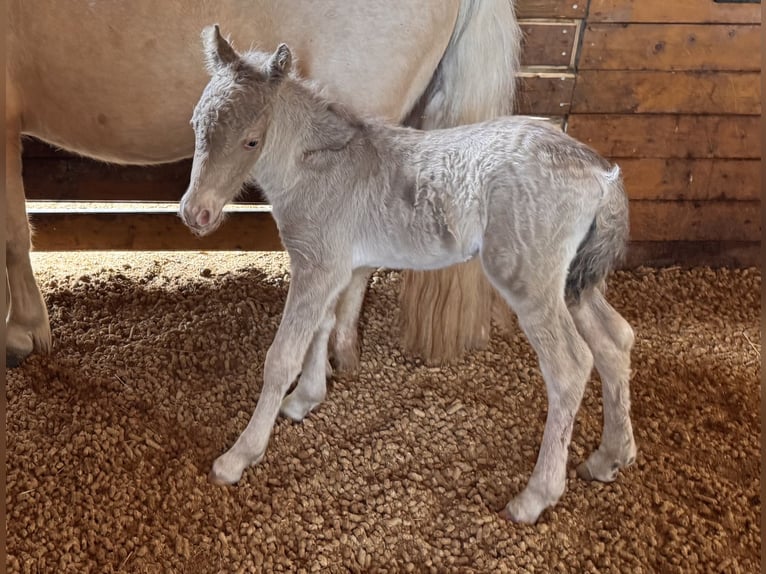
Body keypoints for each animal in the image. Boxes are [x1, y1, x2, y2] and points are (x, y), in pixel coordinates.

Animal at [179, 28, 637, 524]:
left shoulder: (317, 265)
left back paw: (535, 497)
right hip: (574, 280)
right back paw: (611, 457)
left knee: (570, 367)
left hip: (529, 280)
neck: (319, 166)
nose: (195, 213)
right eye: (196, 125)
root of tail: (600, 171)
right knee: (616, 340)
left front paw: (239, 455)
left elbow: (282, 357)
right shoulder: (336, 264)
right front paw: (306, 400)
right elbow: (324, 325)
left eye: (251, 141)